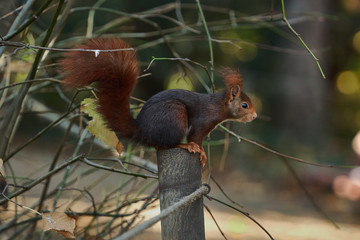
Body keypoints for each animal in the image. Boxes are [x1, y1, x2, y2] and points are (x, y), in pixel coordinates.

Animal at [59, 38, 256, 166]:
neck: (218, 106)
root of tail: (143, 130)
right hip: (175, 116)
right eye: (244, 105)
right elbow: (196, 137)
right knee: (164, 145)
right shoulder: (203, 121)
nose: (254, 116)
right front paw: (199, 150)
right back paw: (184, 145)